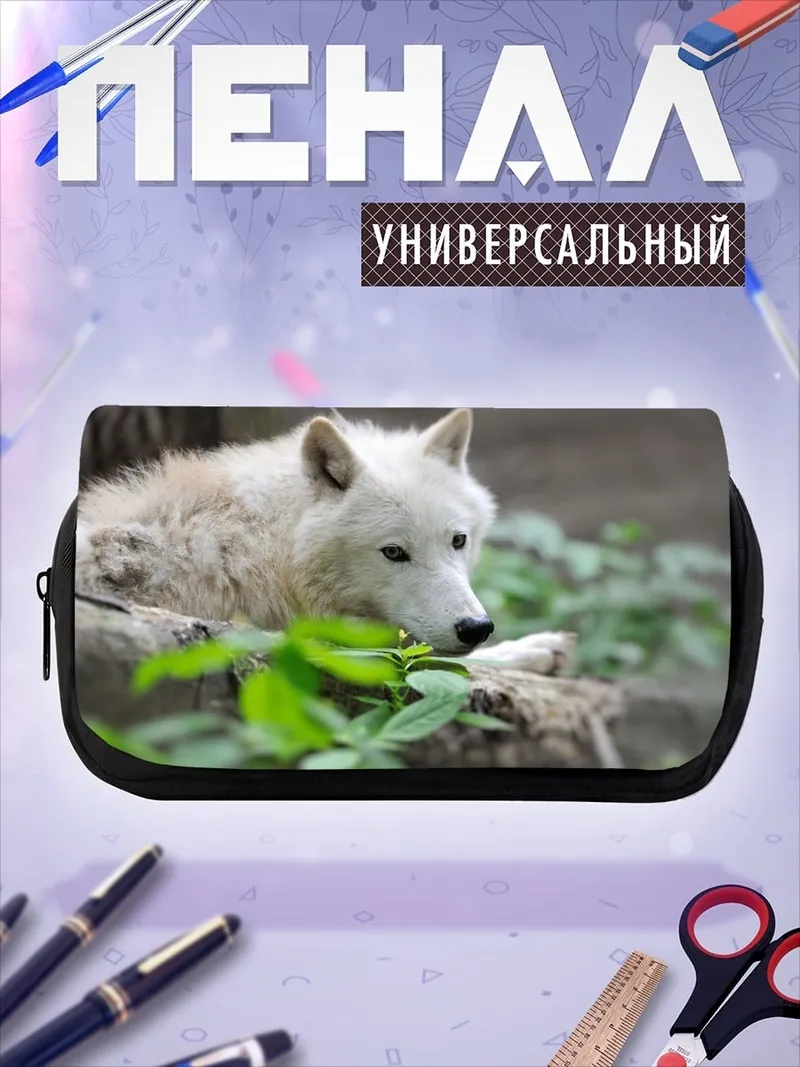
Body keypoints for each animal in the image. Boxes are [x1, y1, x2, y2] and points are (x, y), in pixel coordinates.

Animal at [76, 408, 572, 672]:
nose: (476, 628)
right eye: (394, 552)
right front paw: (530, 650)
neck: (264, 546)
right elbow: (438, 660)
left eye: (458, 541)